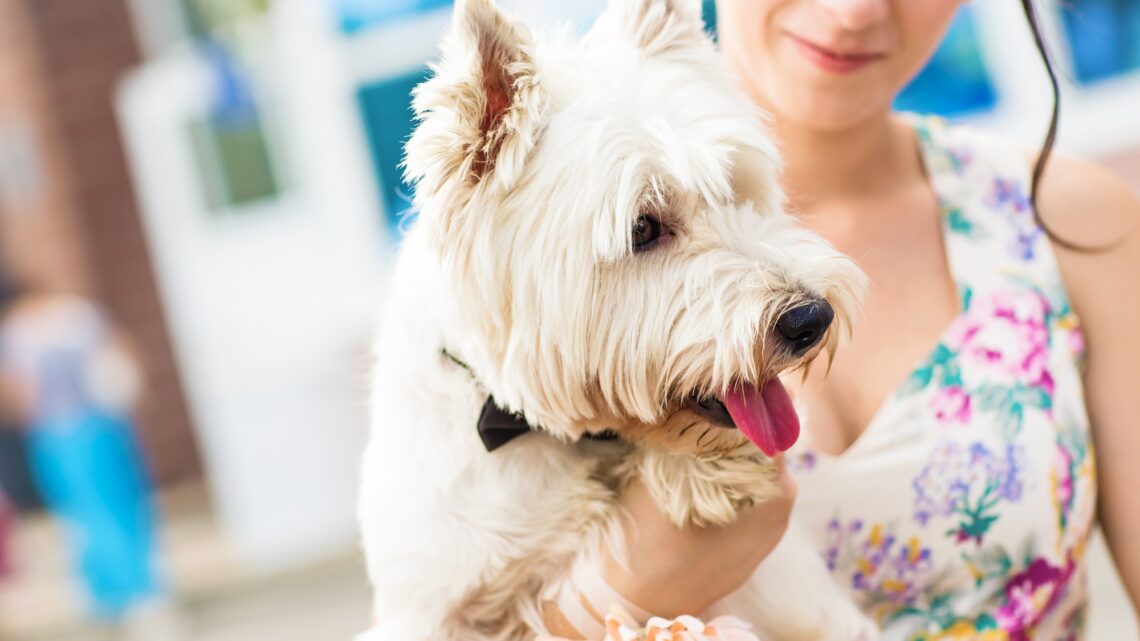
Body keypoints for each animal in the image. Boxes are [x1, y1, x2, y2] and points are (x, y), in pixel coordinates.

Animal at [357, 0, 874, 639]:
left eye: (734, 190)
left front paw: (705, 476)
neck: (522, 427)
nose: (811, 318)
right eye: (643, 228)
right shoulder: (426, 605)